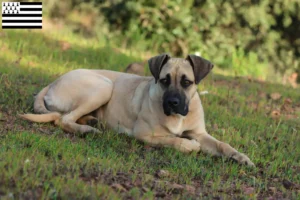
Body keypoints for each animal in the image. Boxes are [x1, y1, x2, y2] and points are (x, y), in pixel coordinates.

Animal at [20, 54, 255, 166]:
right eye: (164, 80)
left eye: (187, 82)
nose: (173, 103)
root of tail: (53, 82)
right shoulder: (144, 134)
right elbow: (172, 140)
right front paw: (188, 145)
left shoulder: (200, 133)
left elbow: (223, 144)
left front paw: (241, 157)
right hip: (104, 86)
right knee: (63, 119)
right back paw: (87, 129)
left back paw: (91, 121)